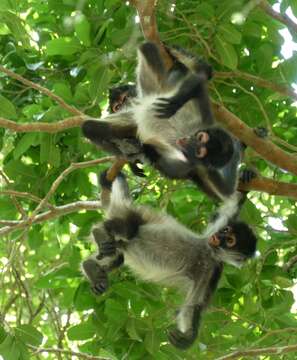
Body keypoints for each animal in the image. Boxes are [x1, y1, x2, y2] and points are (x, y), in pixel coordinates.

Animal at [82, 172, 256, 348]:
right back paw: (99, 232)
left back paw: (91, 266)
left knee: (119, 255)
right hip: (134, 214)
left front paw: (189, 338)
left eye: (230, 241)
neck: (209, 252)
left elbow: (192, 306)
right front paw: (245, 182)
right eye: (225, 230)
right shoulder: (210, 237)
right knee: (129, 229)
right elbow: (228, 208)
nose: (219, 237)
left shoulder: (213, 270)